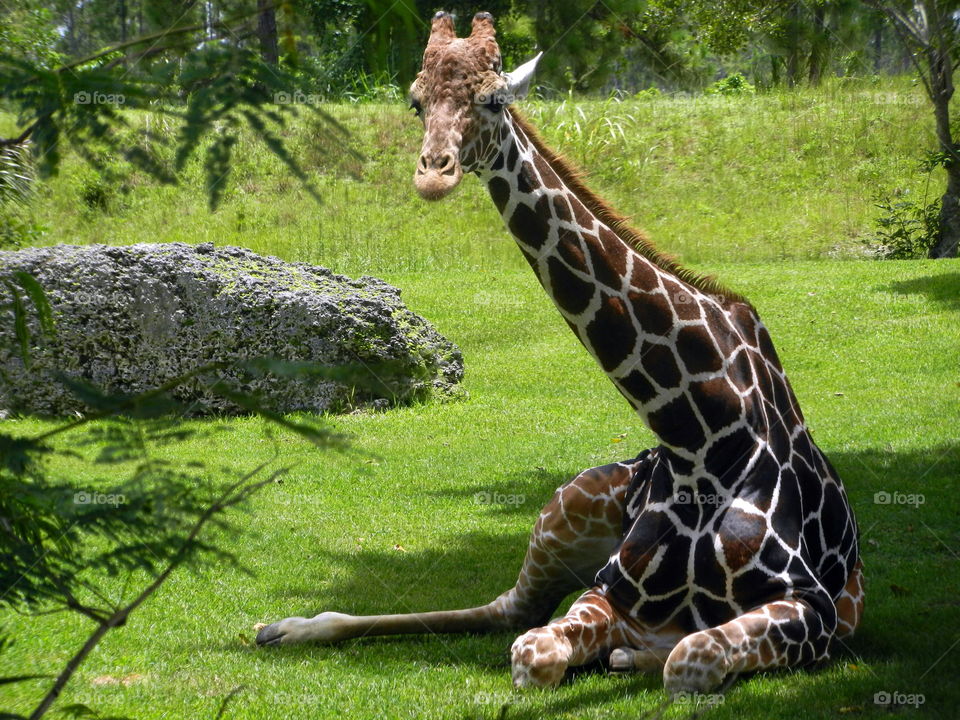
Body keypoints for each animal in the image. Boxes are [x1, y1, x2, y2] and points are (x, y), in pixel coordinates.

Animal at [253, 12, 864, 696]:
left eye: (494, 99)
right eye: (415, 102)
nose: (433, 174)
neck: (700, 436)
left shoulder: (812, 605)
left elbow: (690, 659)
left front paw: (639, 655)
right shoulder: (607, 592)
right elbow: (535, 653)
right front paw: (614, 653)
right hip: (563, 504)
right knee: (506, 610)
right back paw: (288, 628)